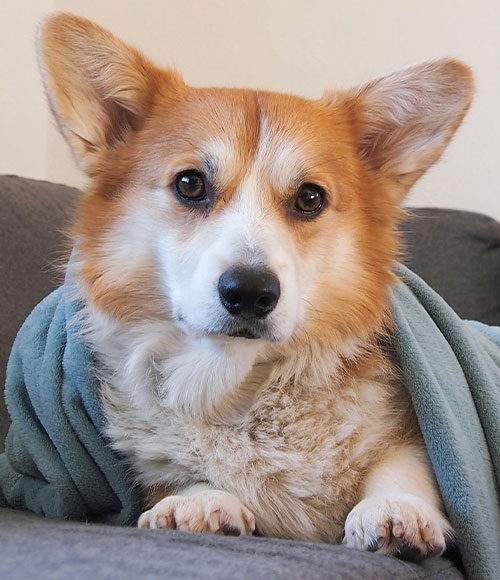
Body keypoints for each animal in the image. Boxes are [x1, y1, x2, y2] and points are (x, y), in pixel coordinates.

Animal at [37, 13, 473, 559]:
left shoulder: (417, 433)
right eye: (189, 184)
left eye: (310, 197)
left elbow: (402, 463)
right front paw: (197, 502)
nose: (249, 293)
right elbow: (179, 476)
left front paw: (395, 509)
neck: (236, 381)